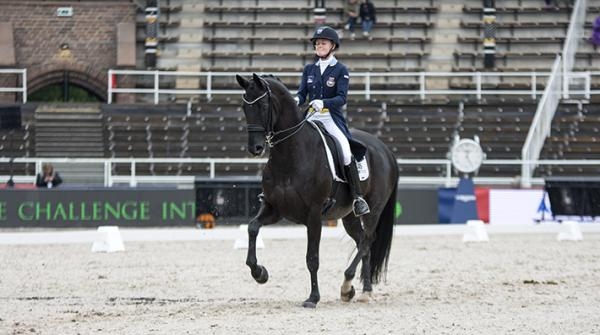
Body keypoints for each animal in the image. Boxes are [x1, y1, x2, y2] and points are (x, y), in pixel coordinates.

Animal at [234, 74, 398, 310]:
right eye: (245, 106)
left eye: (263, 105)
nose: (254, 148)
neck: (290, 153)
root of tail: (384, 149)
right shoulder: (275, 208)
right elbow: (252, 228)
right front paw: (260, 273)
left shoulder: (313, 215)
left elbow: (312, 258)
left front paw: (313, 298)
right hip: (349, 215)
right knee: (362, 242)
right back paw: (363, 290)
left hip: (373, 209)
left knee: (368, 240)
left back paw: (347, 286)